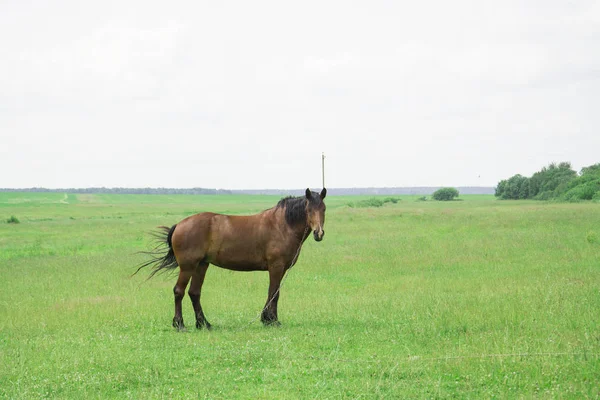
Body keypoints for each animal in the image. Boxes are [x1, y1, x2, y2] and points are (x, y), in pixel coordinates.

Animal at [135, 189, 326, 330]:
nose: (319, 233)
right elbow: (274, 293)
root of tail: (180, 225)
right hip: (188, 267)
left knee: (194, 293)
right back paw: (180, 324)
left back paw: (204, 324)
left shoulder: (280, 268)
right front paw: (272, 320)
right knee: (179, 291)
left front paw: (267, 319)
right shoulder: (276, 267)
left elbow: (273, 293)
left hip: (201, 266)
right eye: (309, 210)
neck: (282, 225)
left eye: (323, 209)